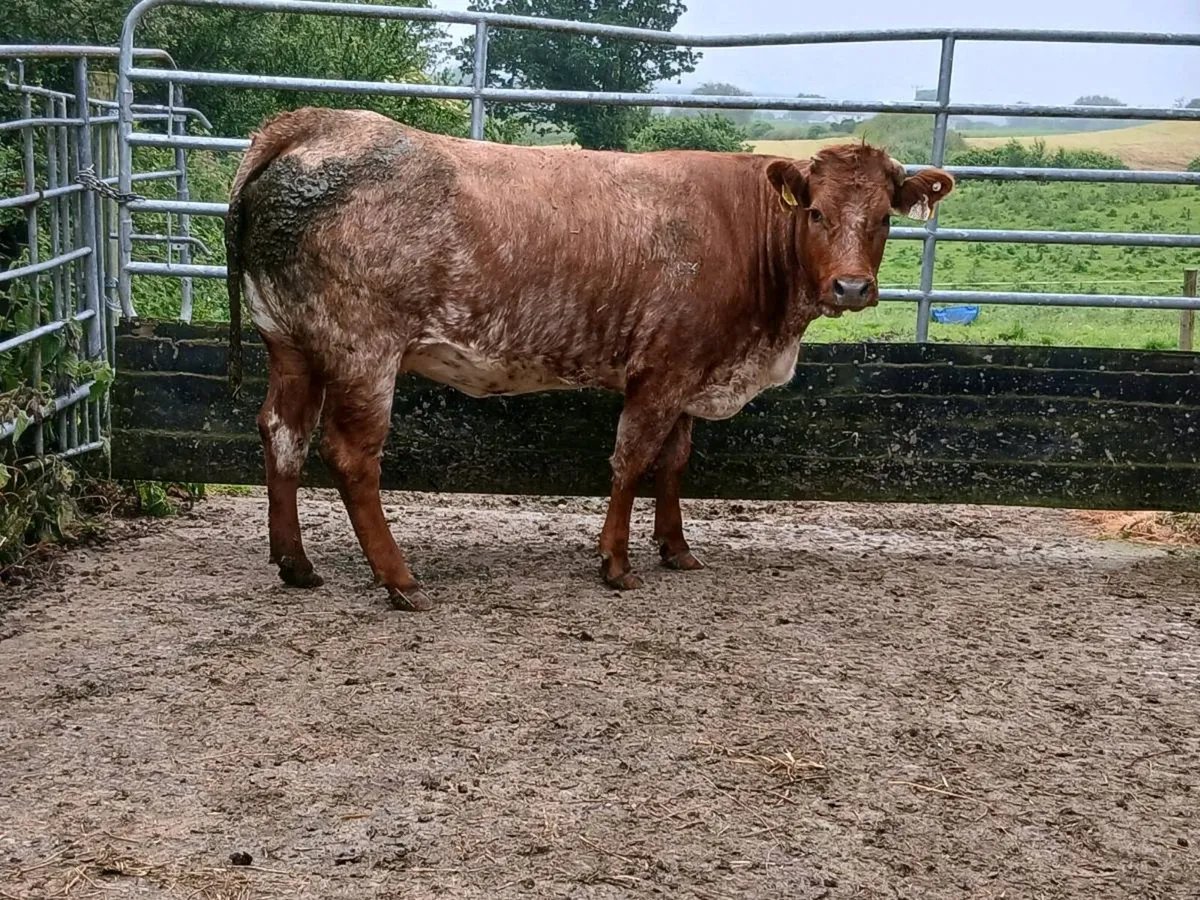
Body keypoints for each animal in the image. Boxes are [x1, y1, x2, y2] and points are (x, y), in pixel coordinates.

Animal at [224, 107, 954, 611]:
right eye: (817, 213)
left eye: (884, 218)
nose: (852, 288)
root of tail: (309, 123)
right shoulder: (661, 370)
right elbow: (632, 460)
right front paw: (615, 563)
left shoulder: (693, 369)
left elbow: (673, 462)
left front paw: (676, 550)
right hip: (363, 348)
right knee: (351, 455)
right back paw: (400, 580)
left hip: (289, 339)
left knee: (282, 433)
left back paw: (296, 564)